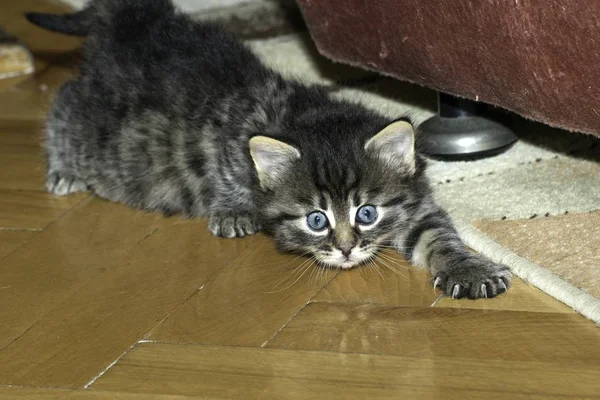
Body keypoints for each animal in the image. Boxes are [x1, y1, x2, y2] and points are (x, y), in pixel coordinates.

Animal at [27, 0, 510, 298]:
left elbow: (437, 233)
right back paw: (63, 168)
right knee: (66, 100)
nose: (346, 249)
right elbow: (221, 166)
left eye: (367, 213)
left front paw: (469, 269)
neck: (309, 114)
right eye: (317, 220)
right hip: (105, 139)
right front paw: (233, 209)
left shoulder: (414, 202)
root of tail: (132, 21)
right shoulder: (229, 133)